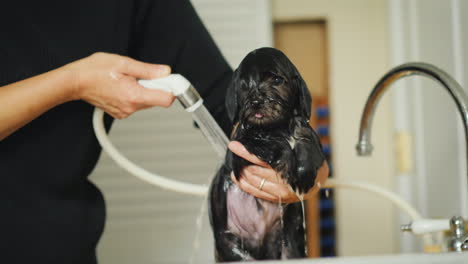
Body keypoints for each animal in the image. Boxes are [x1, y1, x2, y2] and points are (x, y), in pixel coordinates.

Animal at [208, 48, 326, 262]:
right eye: (244, 85)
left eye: (277, 80)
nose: (255, 102)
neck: (277, 127)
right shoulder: (242, 145)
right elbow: (272, 144)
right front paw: (287, 162)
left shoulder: (307, 135)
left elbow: (307, 146)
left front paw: (303, 175)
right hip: (230, 247)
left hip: (289, 244)